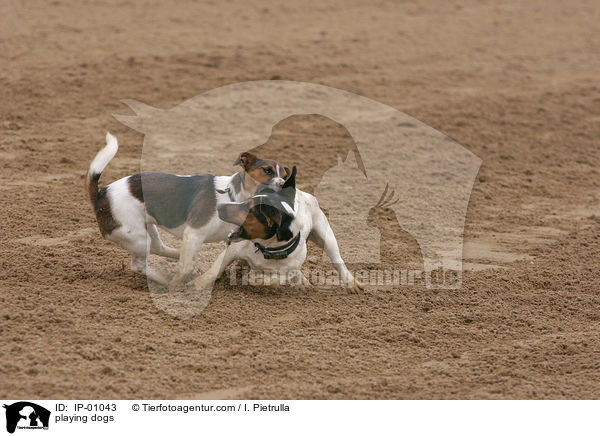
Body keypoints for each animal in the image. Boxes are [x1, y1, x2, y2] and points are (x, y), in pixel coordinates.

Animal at [85, 133, 290, 290]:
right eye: (267, 170)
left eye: (285, 176)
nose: (284, 185)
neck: (232, 196)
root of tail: (100, 195)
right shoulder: (194, 233)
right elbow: (185, 269)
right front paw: (176, 288)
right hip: (137, 236)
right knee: (138, 265)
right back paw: (165, 281)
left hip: (148, 230)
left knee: (159, 249)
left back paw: (174, 260)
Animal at [190, 166, 364, 292]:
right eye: (246, 200)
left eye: (250, 210)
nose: (219, 207)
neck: (266, 248)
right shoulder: (232, 251)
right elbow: (214, 269)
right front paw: (197, 284)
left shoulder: (289, 269)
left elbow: (276, 279)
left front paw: (259, 280)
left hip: (326, 237)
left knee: (337, 261)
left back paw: (351, 283)